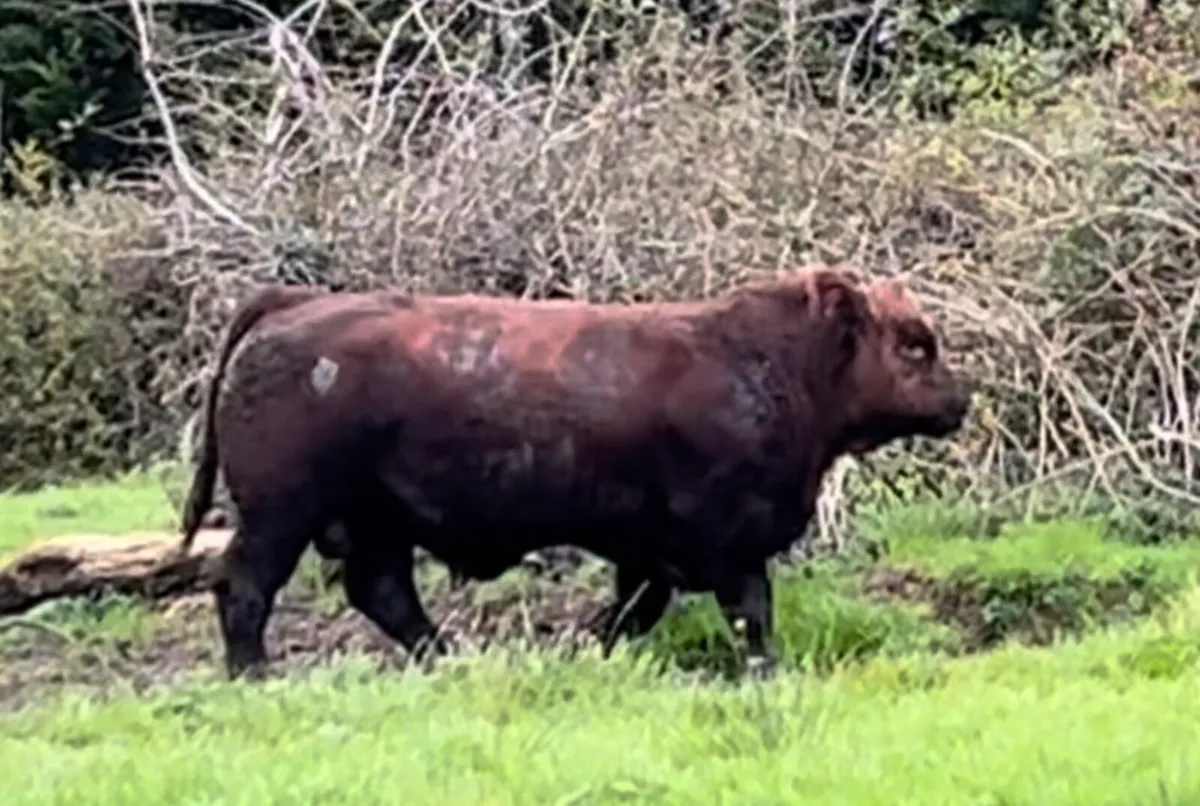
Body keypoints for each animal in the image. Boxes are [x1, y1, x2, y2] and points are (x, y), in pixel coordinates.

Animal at [177, 265, 970, 680]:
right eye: (914, 344)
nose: (960, 399)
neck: (768, 361)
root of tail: (294, 304)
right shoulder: (726, 542)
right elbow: (751, 610)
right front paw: (766, 672)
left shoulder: (648, 552)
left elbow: (634, 610)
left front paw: (585, 646)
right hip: (282, 514)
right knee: (246, 586)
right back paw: (254, 675)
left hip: (375, 523)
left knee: (383, 592)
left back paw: (450, 658)